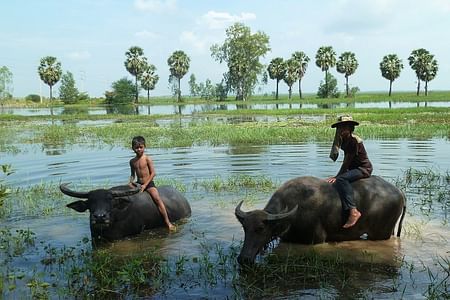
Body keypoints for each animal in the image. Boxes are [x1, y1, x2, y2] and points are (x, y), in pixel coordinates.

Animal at [234, 176, 406, 264]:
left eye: (260, 229)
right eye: (244, 228)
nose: (243, 259)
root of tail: (399, 192)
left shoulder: (316, 239)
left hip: (380, 234)